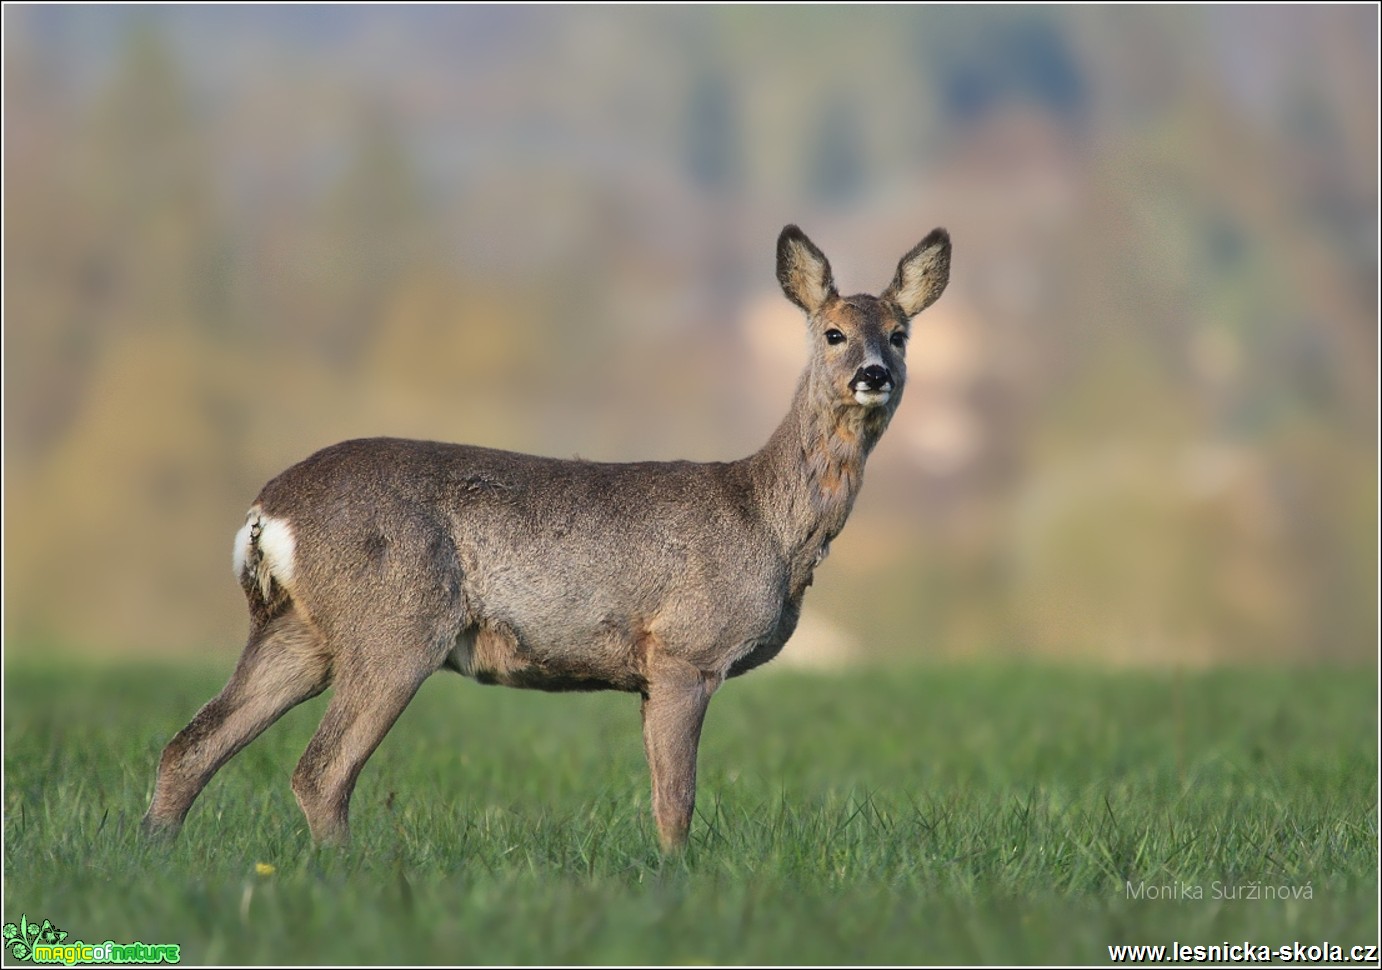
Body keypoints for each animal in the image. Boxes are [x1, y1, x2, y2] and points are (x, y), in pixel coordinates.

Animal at [145, 226, 956, 851]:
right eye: (833, 332)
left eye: (900, 333)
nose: (875, 374)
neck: (767, 519)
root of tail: (266, 512)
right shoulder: (684, 651)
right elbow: (676, 800)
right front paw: (677, 880)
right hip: (396, 624)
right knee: (320, 770)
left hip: (298, 631)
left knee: (189, 746)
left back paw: (157, 858)